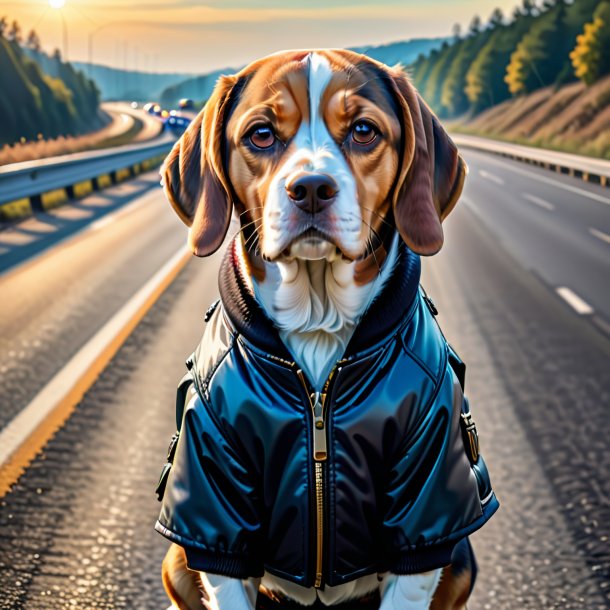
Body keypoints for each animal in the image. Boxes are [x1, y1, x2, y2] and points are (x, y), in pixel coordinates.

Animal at [154, 48, 496, 608]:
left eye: (363, 130)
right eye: (261, 135)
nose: (311, 188)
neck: (319, 324)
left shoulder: (426, 510)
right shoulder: (213, 508)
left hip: (461, 559)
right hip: (176, 561)